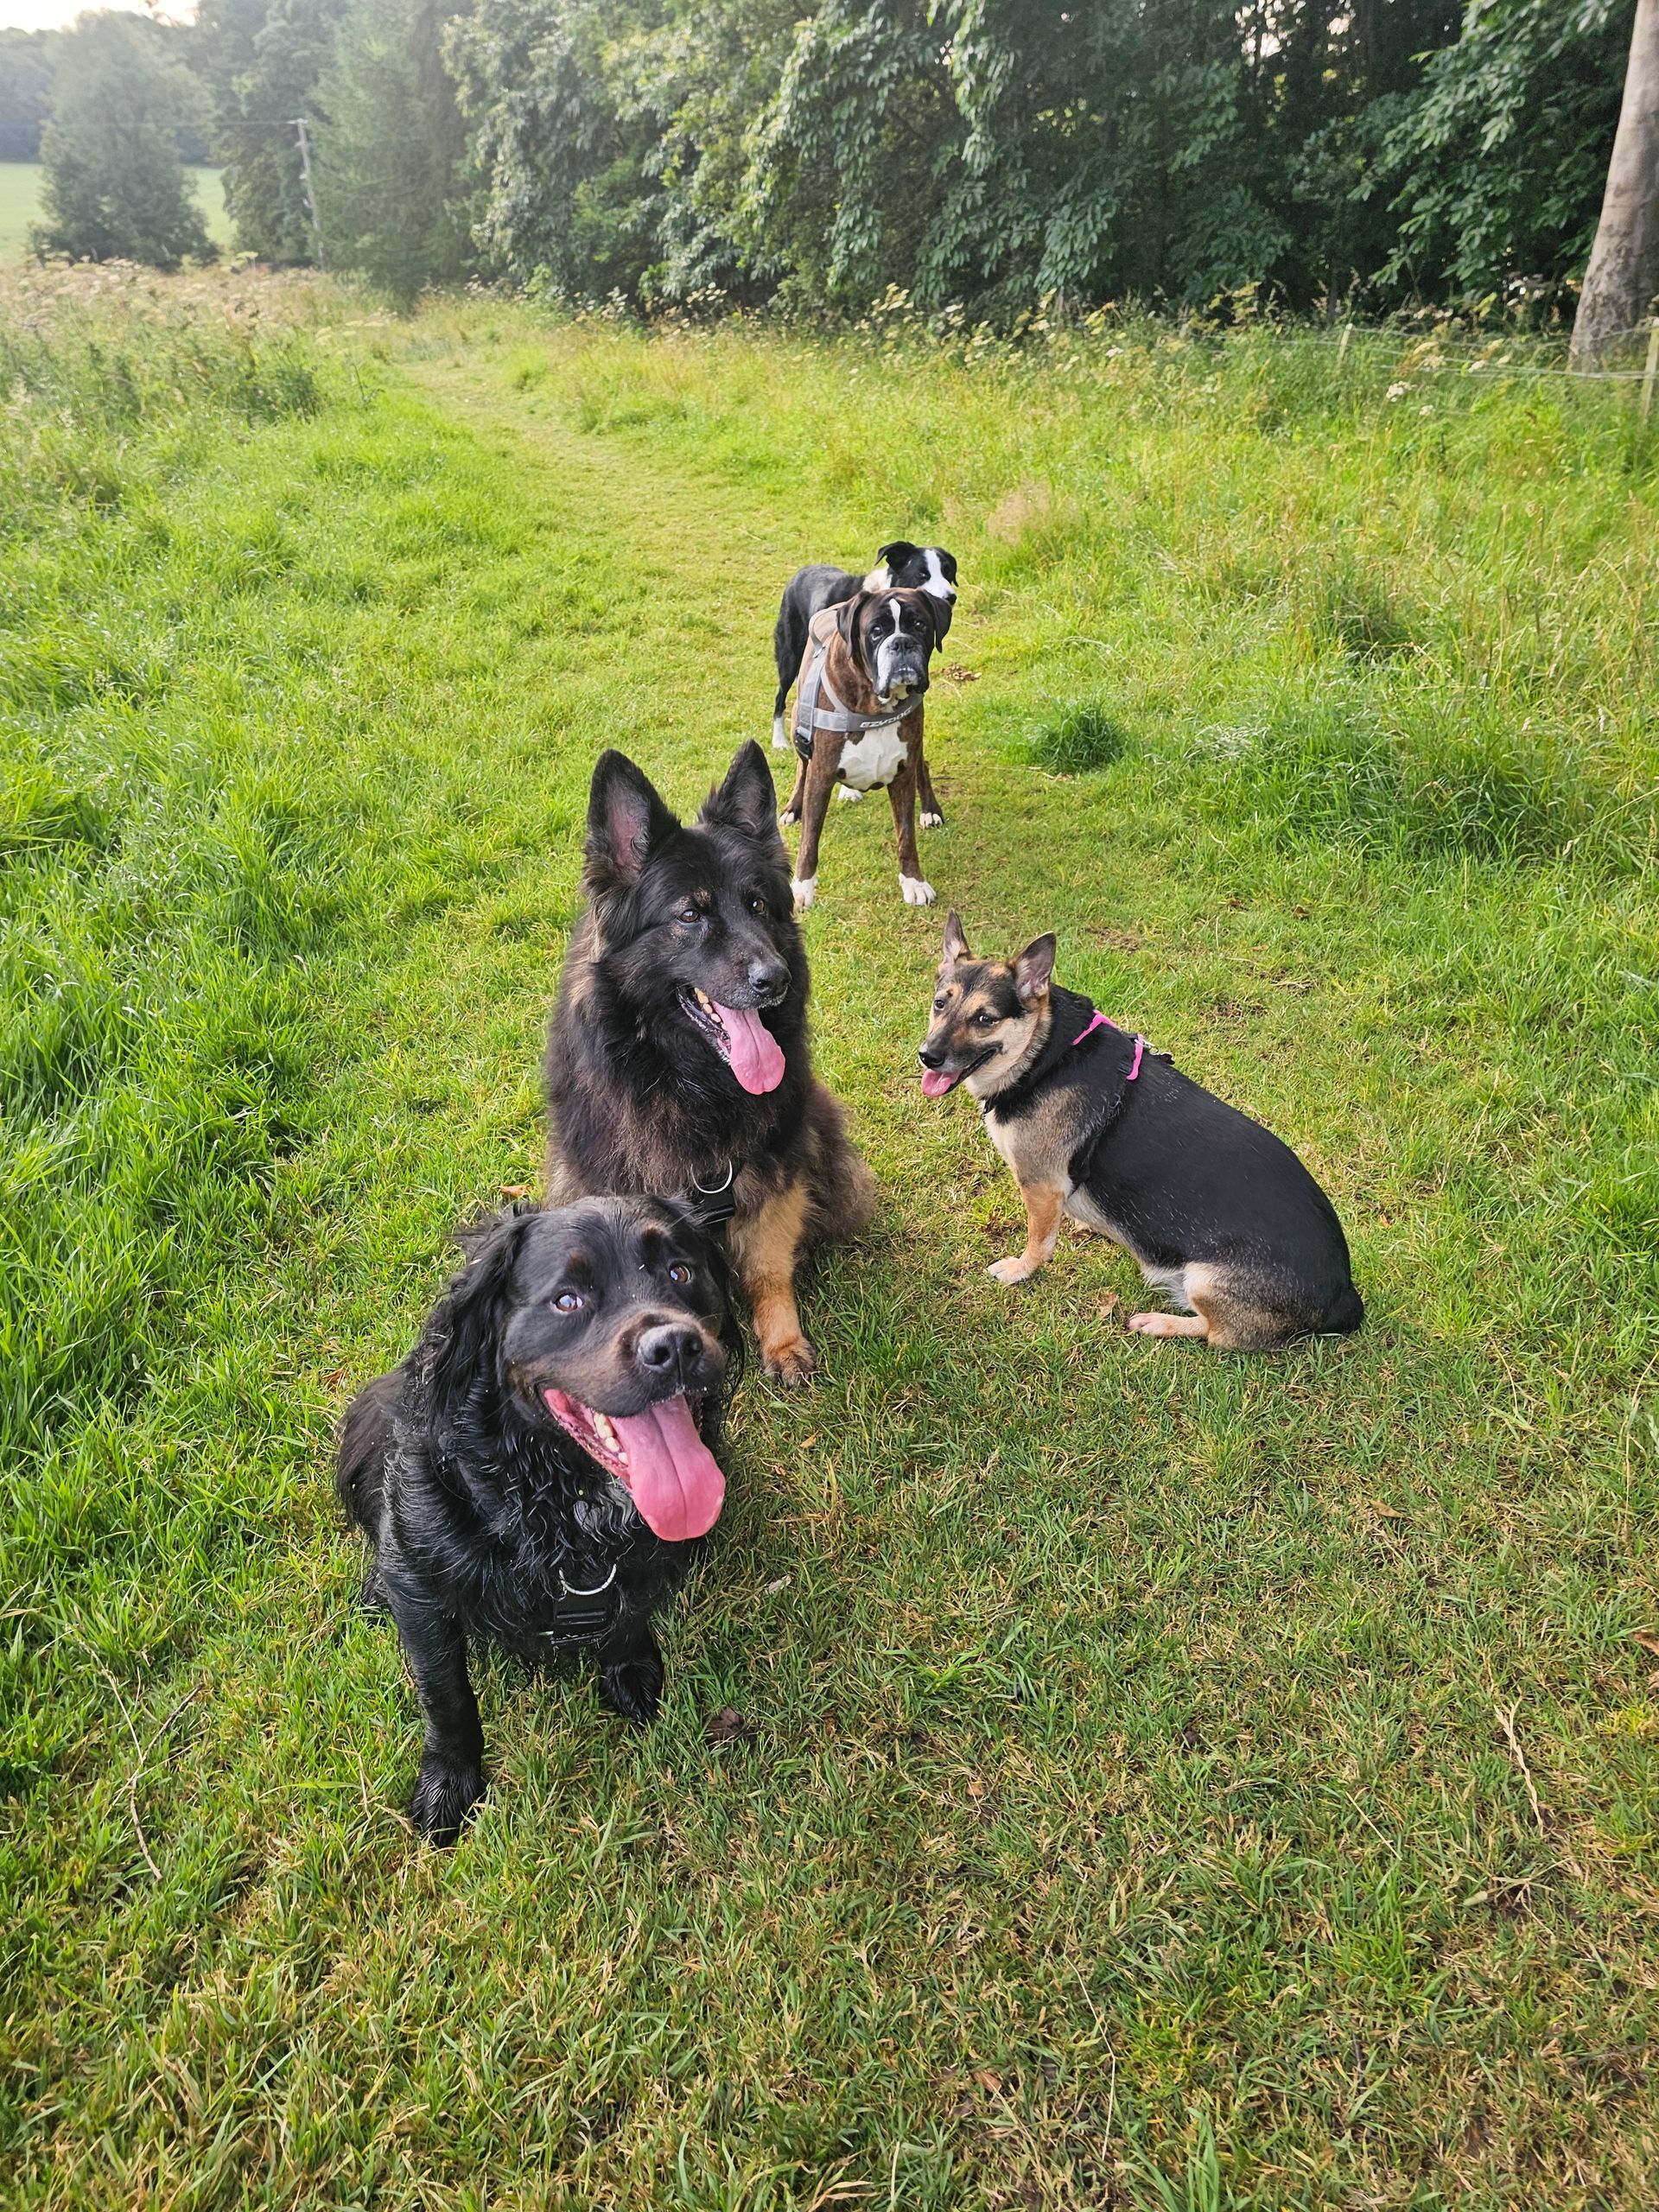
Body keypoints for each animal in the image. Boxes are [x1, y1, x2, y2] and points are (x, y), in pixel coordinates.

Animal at [338, 1198, 738, 1844]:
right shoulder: (423, 1593)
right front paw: (449, 1782)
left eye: (681, 1271)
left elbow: (628, 1617)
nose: (676, 1346)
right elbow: (446, 1695)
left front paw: (630, 1671)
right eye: (567, 1300)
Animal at [543, 740, 876, 1388]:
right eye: (690, 915)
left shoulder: (774, 1165)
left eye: (759, 905)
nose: (775, 980)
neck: (691, 1080)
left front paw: (782, 1343)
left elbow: (768, 1269)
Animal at [779, 587, 946, 910]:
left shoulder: (903, 775)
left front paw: (914, 882)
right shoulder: (821, 774)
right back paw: (795, 808)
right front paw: (802, 889)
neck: (874, 706)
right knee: (801, 766)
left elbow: (906, 836)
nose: (902, 643)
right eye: (876, 631)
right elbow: (810, 840)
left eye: (920, 625)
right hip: (797, 728)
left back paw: (930, 810)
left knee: (923, 765)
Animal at [918, 914, 1363, 1348]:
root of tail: (1345, 1297)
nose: (927, 1056)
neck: (1046, 1056)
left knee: (1219, 1335)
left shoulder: (1039, 1185)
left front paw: (1020, 1269)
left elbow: (1039, 1241)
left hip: (1205, 1280)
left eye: (984, 1019)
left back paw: (1160, 1323)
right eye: (940, 1003)